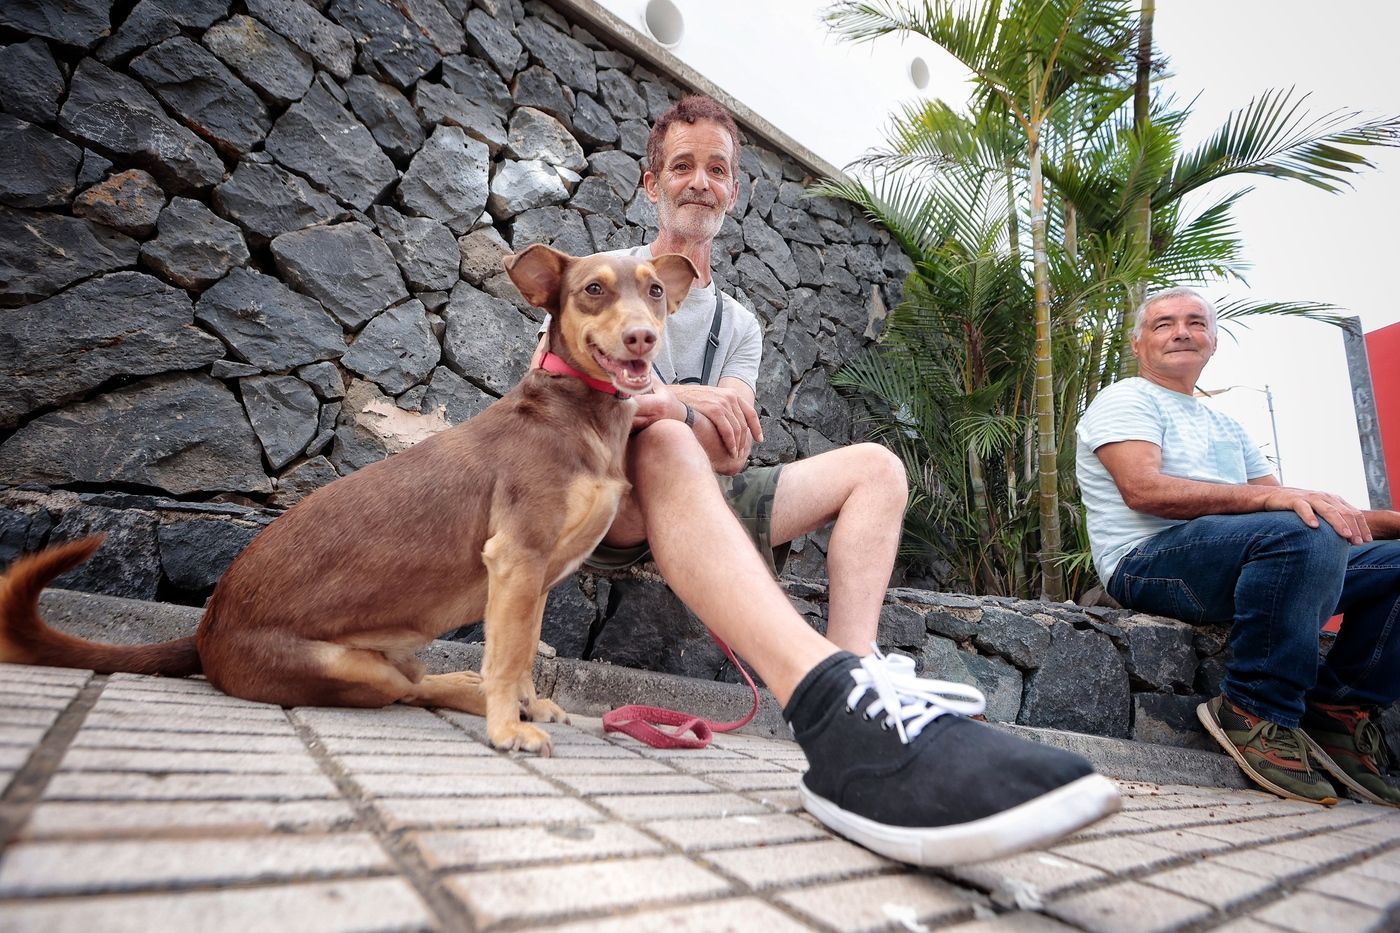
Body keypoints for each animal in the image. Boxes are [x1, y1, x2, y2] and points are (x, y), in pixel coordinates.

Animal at [0, 243, 697, 750]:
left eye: (655, 291)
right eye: (593, 290)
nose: (643, 338)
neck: (581, 413)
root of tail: (204, 632)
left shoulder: (538, 578)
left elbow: (521, 653)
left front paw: (523, 706)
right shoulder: (517, 558)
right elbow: (505, 660)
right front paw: (506, 727)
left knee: (419, 683)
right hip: (350, 671)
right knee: (408, 691)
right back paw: (474, 696)